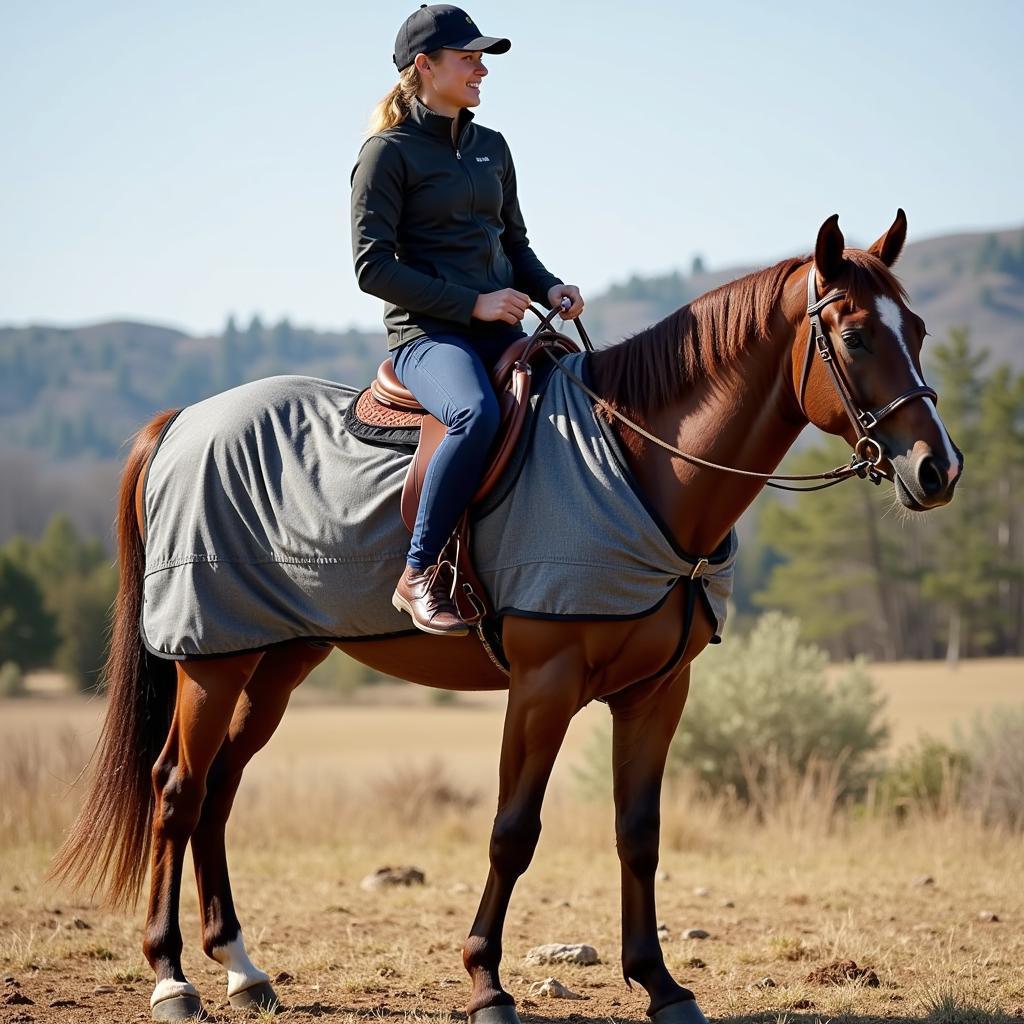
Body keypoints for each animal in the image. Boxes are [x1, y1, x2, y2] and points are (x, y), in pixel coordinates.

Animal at [49, 209, 958, 1024]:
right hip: (212, 662)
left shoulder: (658, 694)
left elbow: (639, 834)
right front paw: (487, 982)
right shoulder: (543, 687)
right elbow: (512, 832)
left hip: (276, 657)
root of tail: (181, 423)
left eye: (914, 327)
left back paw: (242, 969)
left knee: (221, 788)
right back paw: (172, 978)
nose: (938, 468)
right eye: (854, 337)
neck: (637, 466)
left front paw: (661, 985)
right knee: (178, 788)